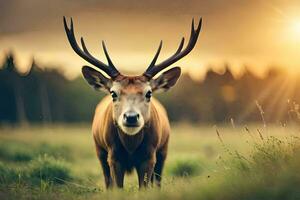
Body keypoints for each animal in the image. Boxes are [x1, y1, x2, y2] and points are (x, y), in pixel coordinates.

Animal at [63, 17, 202, 189]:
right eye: (113, 93)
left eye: (148, 93)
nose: (130, 117)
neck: (130, 147)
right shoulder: (113, 156)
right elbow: (117, 187)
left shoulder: (150, 156)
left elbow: (144, 187)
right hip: (99, 150)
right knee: (107, 181)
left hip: (164, 150)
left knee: (158, 181)